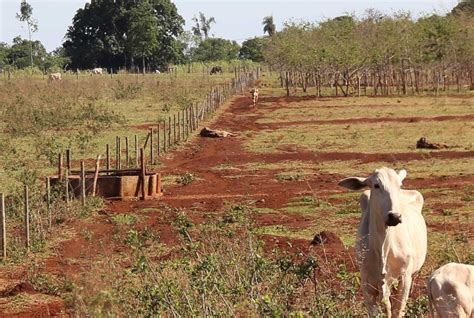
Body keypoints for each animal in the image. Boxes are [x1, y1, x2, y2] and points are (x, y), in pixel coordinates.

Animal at [338, 168, 428, 316]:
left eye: (399, 185)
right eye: (376, 185)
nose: (395, 216)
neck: (383, 248)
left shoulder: (404, 280)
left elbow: (397, 311)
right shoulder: (367, 284)